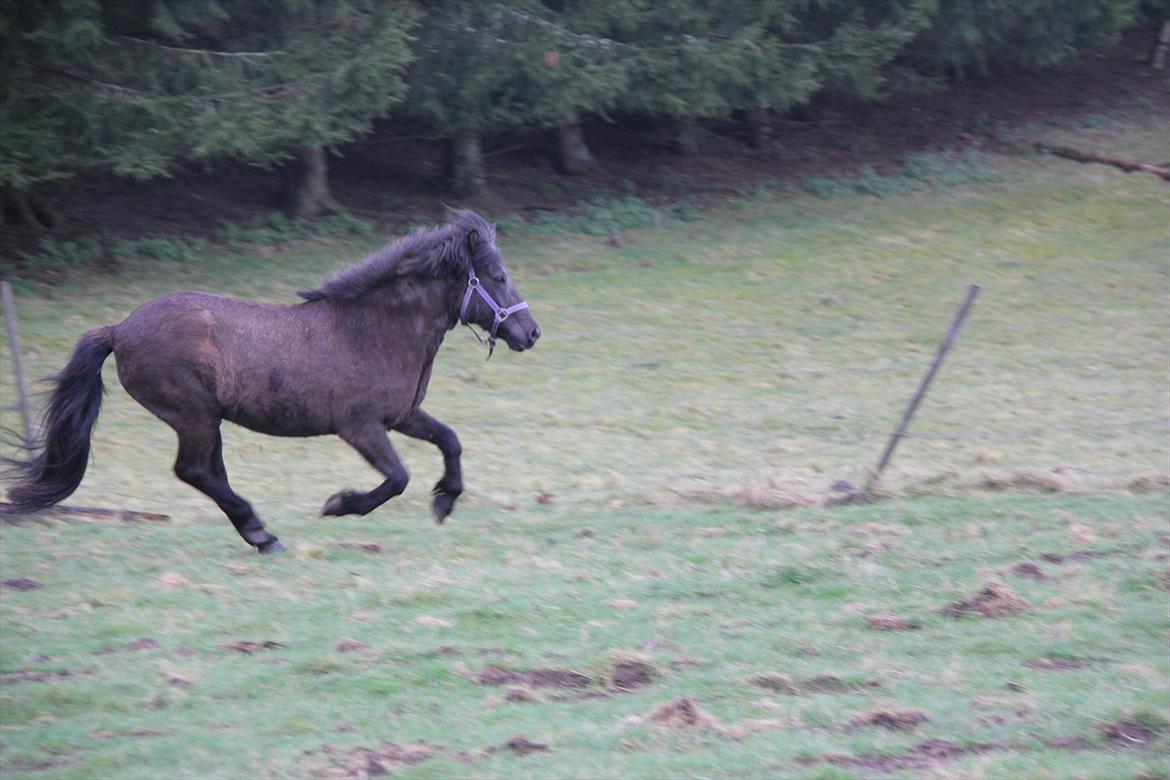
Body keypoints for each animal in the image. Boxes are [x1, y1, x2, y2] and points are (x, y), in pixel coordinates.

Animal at [2, 209, 540, 554]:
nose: (530, 333)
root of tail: (117, 329)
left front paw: (445, 500)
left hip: (207, 420)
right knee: (194, 471)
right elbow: (397, 478)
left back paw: (259, 534)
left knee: (210, 474)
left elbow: (451, 441)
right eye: (496, 276)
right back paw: (263, 535)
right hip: (193, 415)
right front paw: (339, 505)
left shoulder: (402, 415)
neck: (374, 329)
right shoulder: (361, 427)